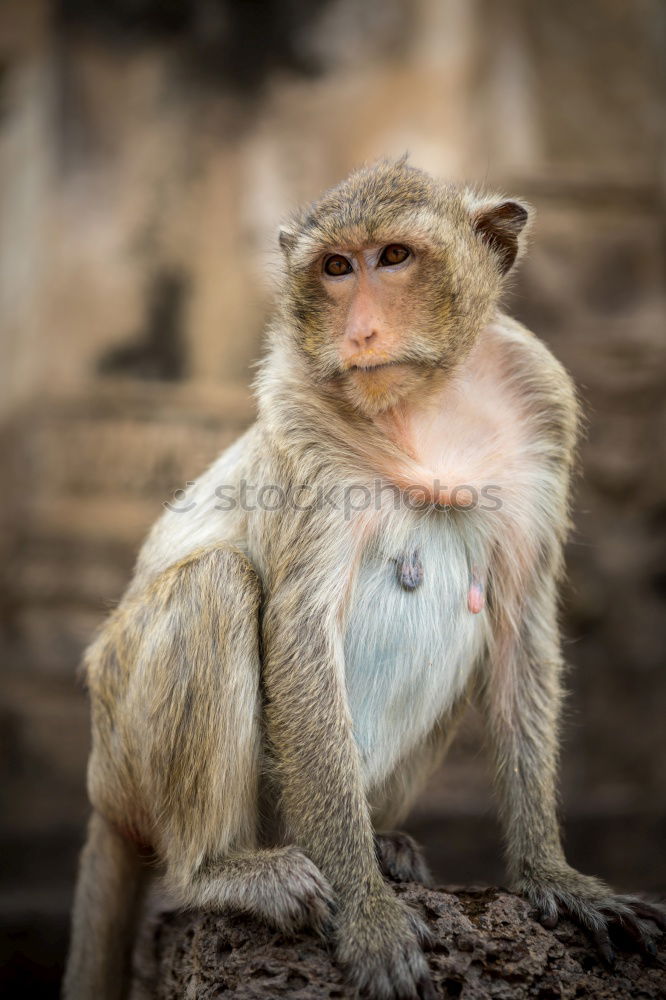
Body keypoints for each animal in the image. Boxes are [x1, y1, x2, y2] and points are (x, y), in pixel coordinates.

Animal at [63, 160, 664, 996]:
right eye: (336, 268)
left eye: (395, 257)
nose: (360, 332)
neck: (425, 407)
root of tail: (99, 792)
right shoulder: (302, 419)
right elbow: (299, 633)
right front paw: (368, 912)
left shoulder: (544, 410)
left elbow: (521, 627)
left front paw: (554, 876)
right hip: (127, 744)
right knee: (215, 582)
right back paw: (222, 871)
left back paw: (381, 842)